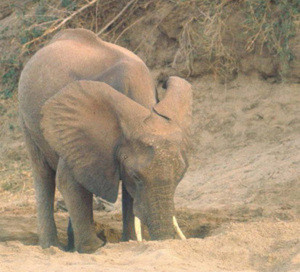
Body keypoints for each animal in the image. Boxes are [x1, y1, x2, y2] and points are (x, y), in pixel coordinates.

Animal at [18, 28, 192, 253]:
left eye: (180, 176)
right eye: (136, 176)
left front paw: (128, 241)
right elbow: (68, 180)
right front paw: (93, 247)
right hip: (26, 119)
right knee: (43, 173)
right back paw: (52, 246)